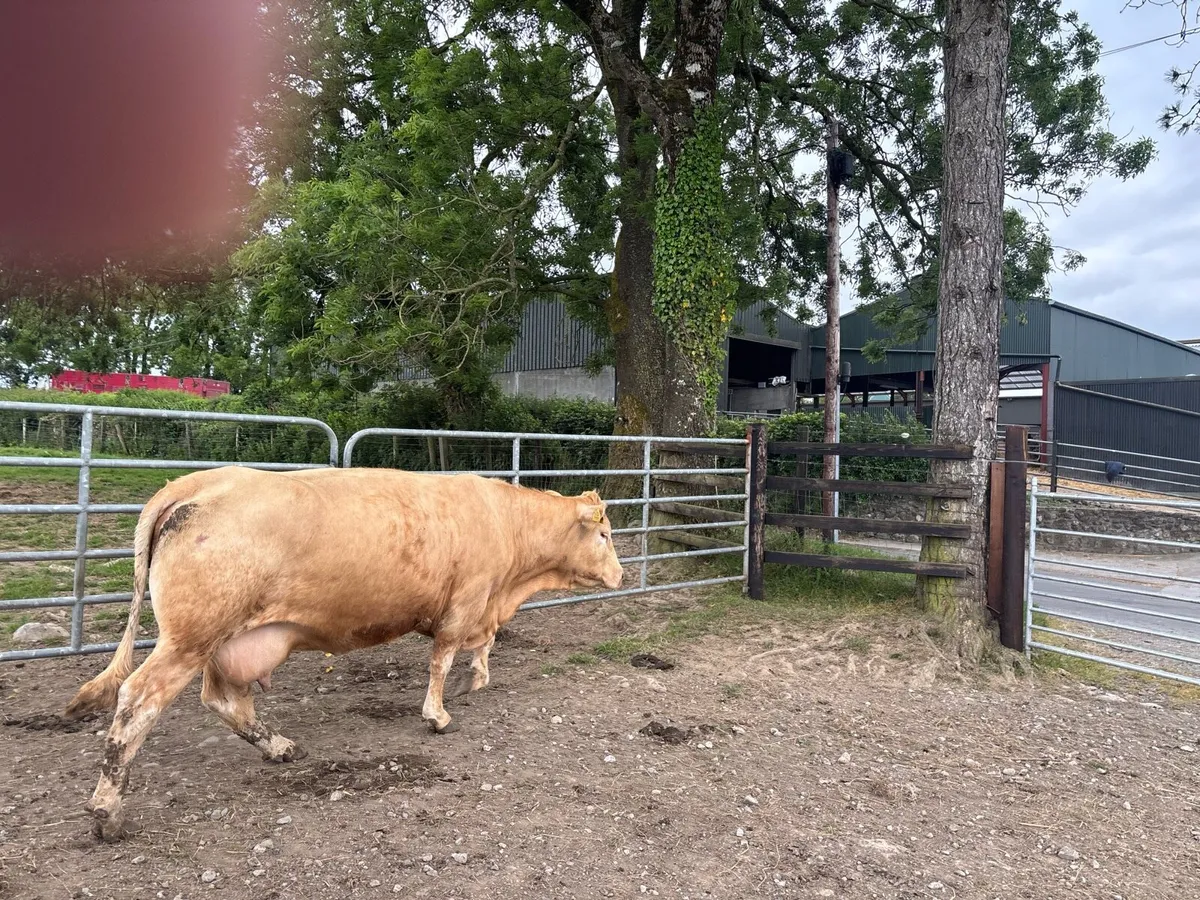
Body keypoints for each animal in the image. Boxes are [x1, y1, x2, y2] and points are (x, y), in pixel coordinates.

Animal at [63, 465, 625, 841]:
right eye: (603, 533)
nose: (621, 574)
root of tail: (193, 483)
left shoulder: (481, 607)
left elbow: (480, 647)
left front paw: (477, 678)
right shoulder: (467, 600)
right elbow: (442, 658)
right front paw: (438, 714)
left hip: (224, 644)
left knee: (223, 700)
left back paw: (279, 746)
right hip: (190, 637)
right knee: (138, 699)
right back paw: (107, 811)